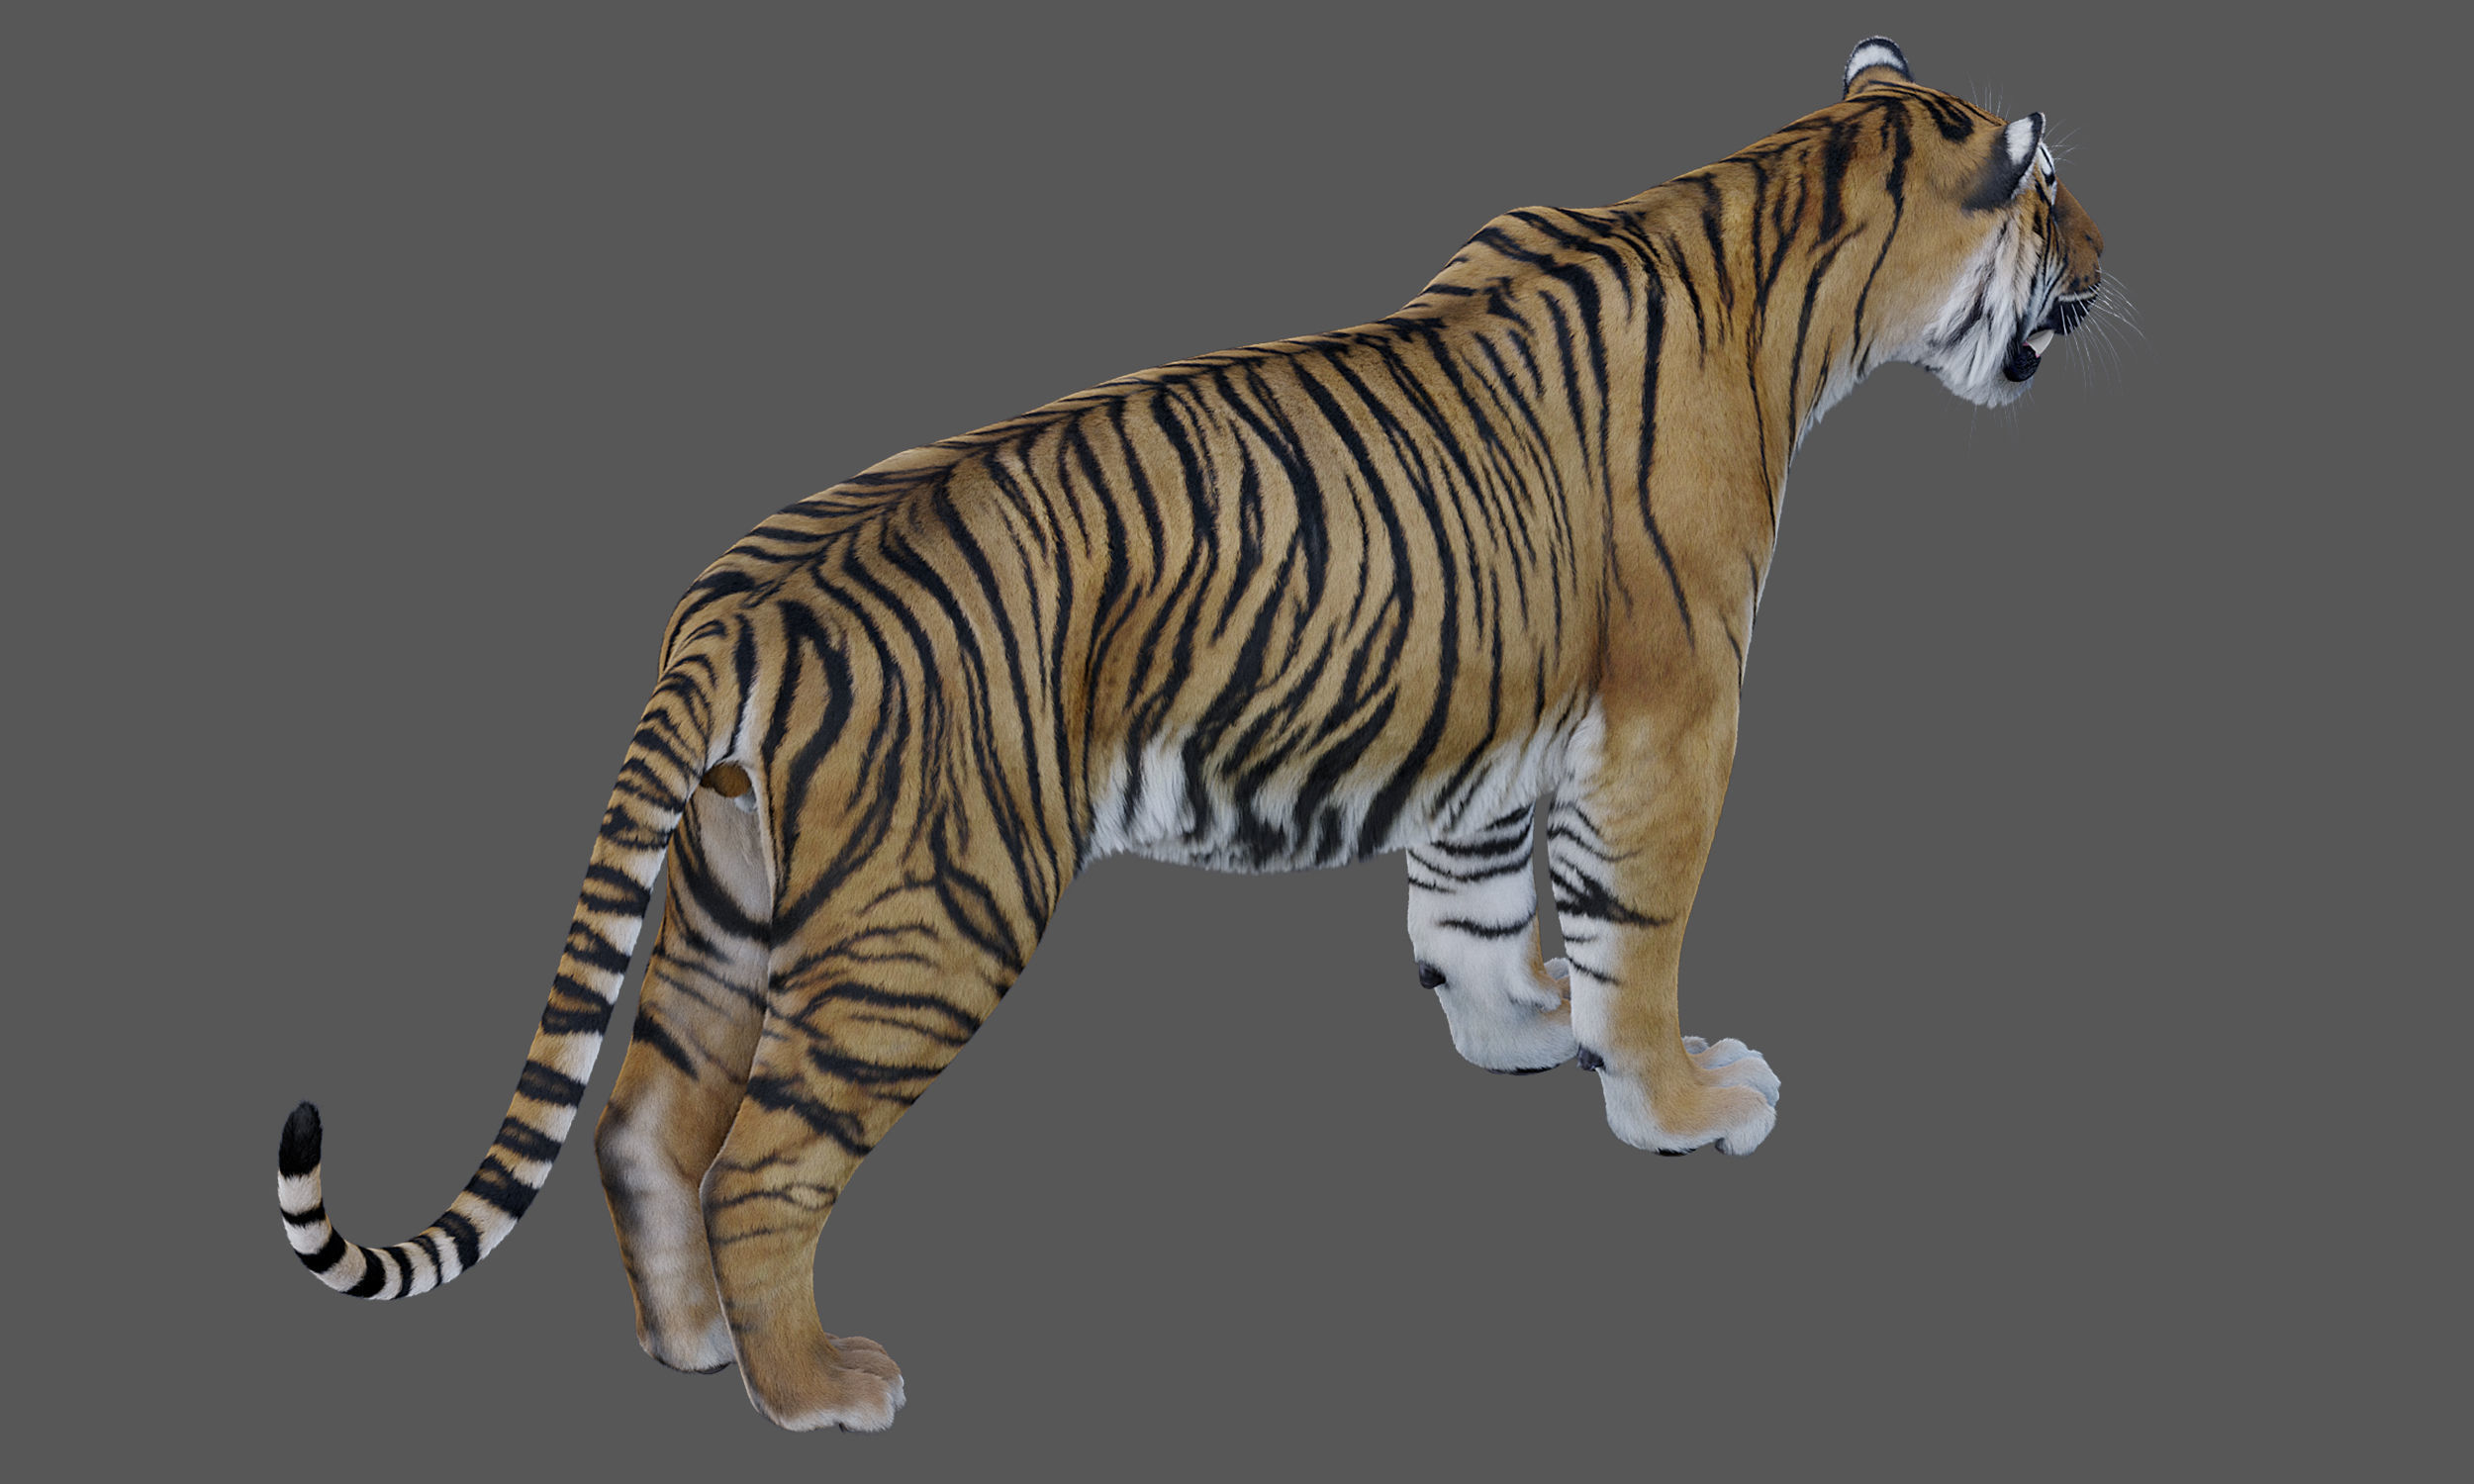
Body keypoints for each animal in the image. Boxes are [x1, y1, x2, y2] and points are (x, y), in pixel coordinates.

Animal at [274, 36, 2105, 1432]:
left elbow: (1479, 905)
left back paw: (695, 1349)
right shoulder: (1672, 720)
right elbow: (1634, 938)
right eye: (2052, 196)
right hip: (932, 916)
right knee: (756, 1166)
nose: (2107, 263)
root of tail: (739, 606)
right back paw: (814, 1392)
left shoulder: (1490, 717)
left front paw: (1516, 1030)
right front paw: (1679, 1102)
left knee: (646, 1130)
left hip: (730, 898)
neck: (1791, 245)